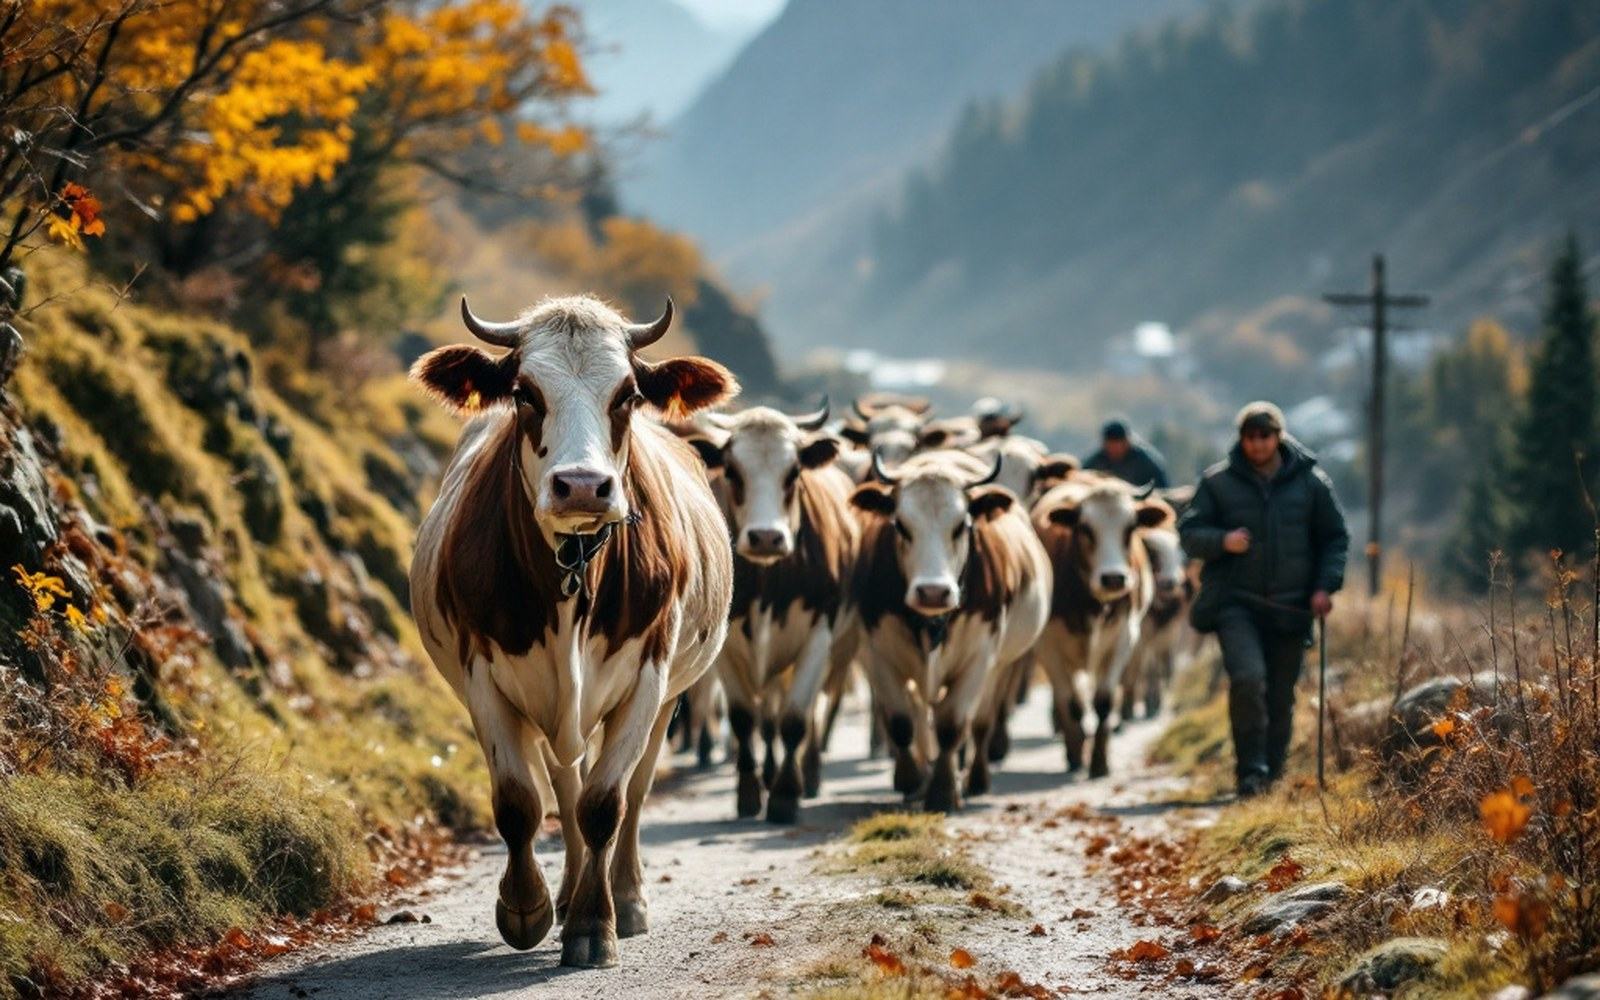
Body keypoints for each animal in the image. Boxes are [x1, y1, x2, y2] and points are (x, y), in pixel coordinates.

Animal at [409, 295, 736, 967]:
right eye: (524, 393)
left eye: (628, 395)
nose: (582, 485)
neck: (572, 566)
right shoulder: (484, 676)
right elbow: (519, 802)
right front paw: (527, 908)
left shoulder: (647, 677)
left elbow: (606, 803)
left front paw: (594, 923)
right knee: (563, 784)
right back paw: (564, 893)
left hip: (666, 698)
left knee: (634, 788)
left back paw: (626, 898)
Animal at [688, 401, 860, 823]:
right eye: (732, 471)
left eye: (794, 471)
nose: (766, 537)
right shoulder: (728, 645)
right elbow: (744, 718)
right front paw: (750, 792)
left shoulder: (818, 636)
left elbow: (796, 719)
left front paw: (784, 795)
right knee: (767, 715)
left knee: (813, 711)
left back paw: (808, 775)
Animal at [851, 450, 1051, 812]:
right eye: (900, 525)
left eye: (962, 526)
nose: (933, 592)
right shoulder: (878, 654)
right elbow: (901, 723)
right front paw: (911, 780)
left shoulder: (979, 657)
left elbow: (951, 725)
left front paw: (943, 791)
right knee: (920, 715)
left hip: (999, 667)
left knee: (982, 721)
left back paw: (975, 779)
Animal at [1030, 473, 1163, 778]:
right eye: (1085, 528)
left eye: (1131, 528)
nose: (1113, 578)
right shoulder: (1048, 646)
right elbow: (1071, 704)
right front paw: (1077, 753)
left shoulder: (1124, 637)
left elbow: (1103, 702)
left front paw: (1100, 762)